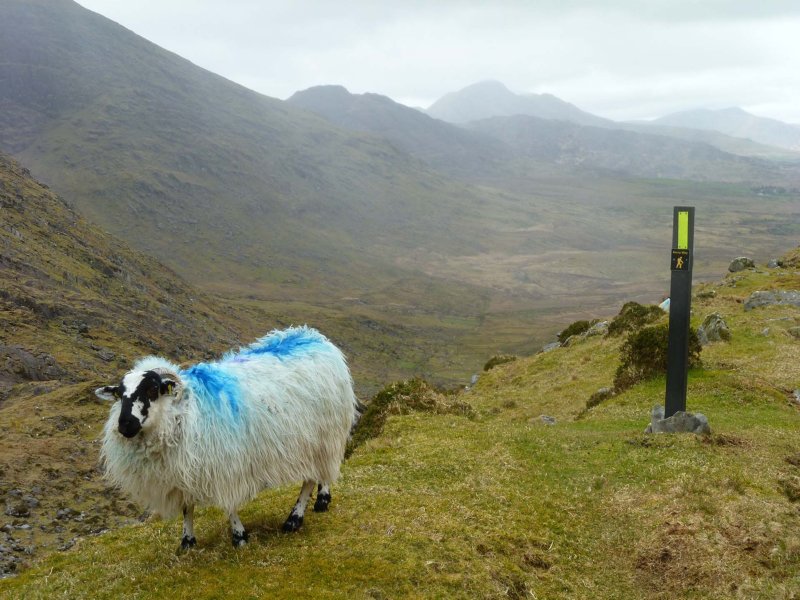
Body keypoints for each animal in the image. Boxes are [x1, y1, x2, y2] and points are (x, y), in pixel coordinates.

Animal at [93, 326, 356, 552]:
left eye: (151, 390)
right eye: (119, 395)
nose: (125, 424)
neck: (186, 412)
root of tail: (315, 337)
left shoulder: (226, 466)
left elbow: (229, 505)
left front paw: (239, 537)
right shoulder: (182, 471)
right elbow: (187, 508)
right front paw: (187, 542)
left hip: (322, 436)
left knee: (312, 477)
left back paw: (297, 517)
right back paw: (321, 499)